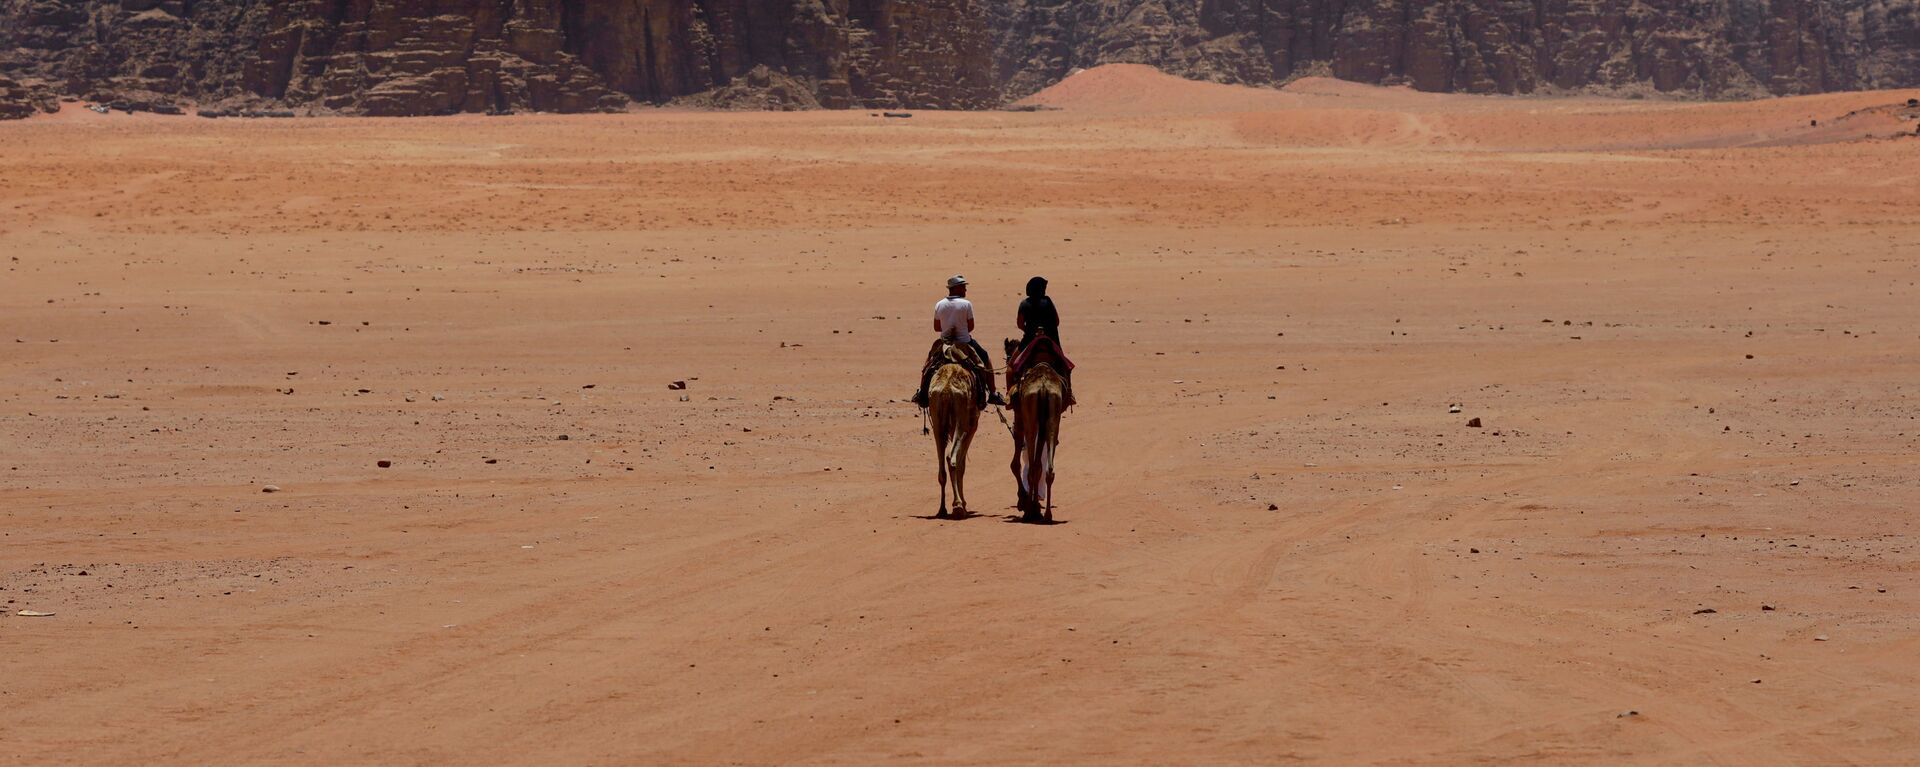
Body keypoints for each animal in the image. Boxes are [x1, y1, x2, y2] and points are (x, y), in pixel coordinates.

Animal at [925, 344, 983, 519]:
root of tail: (946, 389)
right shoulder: (972, 426)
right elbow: (962, 465)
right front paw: (963, 503)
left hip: (937, 419)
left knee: (942, 468)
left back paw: (942, 509)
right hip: (960, 420)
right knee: (952, 458)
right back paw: (958, 507)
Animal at [1006, 340, 1067, 526]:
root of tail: (1043, 387)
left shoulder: (1019, 420)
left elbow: (1015, 464)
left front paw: (1023, 501)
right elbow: (1039, 463)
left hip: (1030, 419)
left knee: (1032, 466)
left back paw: (1029, 512)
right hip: (1053, 414)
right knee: (1047, 468)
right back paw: (1046, 514)